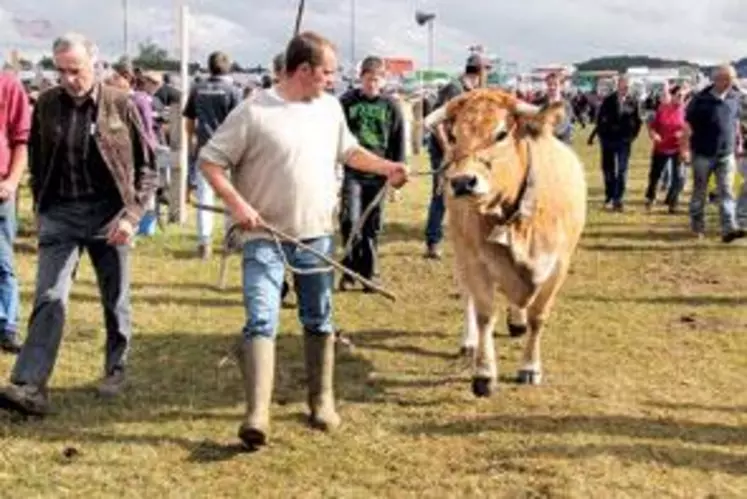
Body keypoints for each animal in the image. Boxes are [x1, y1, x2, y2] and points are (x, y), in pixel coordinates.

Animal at [424, 87, 588, 398]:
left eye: (501, 133)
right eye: (455, 136)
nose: (462, 182)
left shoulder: (559, 265)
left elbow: (538, 315)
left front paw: (530, 367)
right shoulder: (475, 261)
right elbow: (484, 314)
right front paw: (484, 374)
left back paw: (517, 320)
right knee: (467, 297)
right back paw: (470, 341)